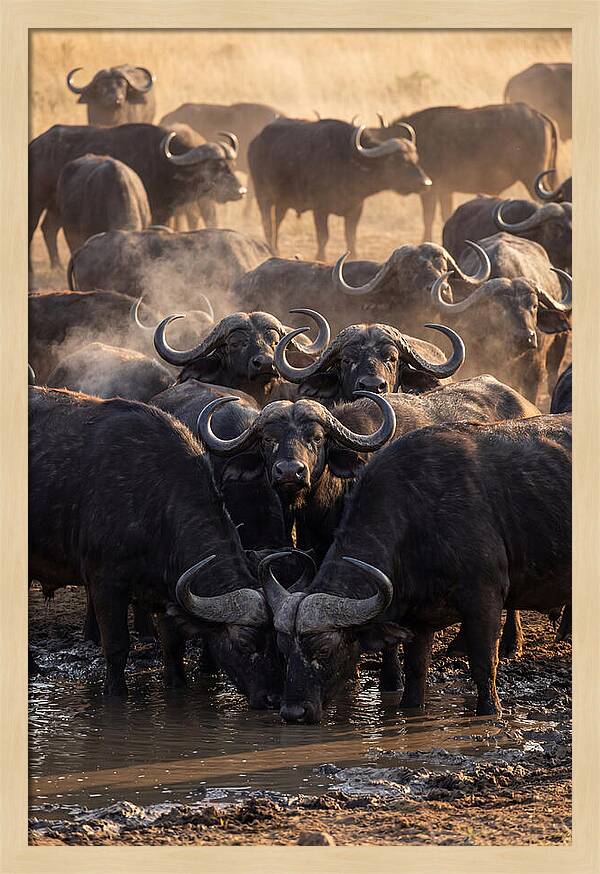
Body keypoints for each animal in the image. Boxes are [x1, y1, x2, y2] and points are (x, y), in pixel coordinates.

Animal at [248, 118, 431, 260]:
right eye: (397, 160)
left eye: (415, 158)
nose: (425, 183)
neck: (348, 162)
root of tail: (255, 142)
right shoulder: (320, 209)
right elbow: (323, 236)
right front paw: (320, 257)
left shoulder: (356, 208)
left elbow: (351, 236)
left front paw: (354, 256)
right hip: (263, 196)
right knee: (267, 223)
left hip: (283, 202)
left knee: (277, 221)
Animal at [261, 414, 571, 722]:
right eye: (283, 649)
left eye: (324, 649)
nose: (293, 712)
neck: (418, 516)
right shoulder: (418, 619)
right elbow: (415, 672)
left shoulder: (485, 598)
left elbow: (484, 665)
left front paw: (490, 712)